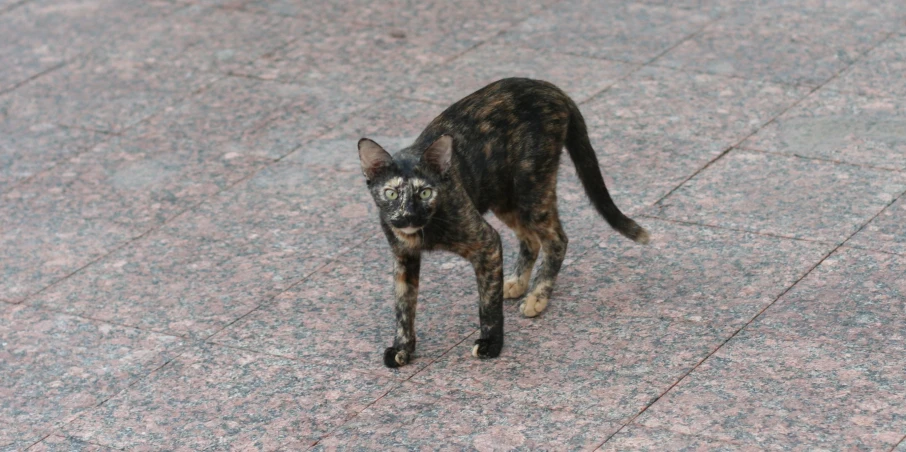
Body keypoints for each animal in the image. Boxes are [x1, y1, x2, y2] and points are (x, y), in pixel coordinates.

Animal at [356, 77, 648, 368]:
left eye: (425, 192)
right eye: (391, 194)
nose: (409, 215)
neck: (424, 229)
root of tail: (549, 86)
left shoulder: (486, 243)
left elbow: (488, 304)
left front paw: (491, 343)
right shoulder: (404, 257)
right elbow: (403, 306)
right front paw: (402, 347)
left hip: (531, 189)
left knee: (557, 239)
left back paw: (538, 296)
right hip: (504, 198)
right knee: (530, 239)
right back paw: (517, 282)